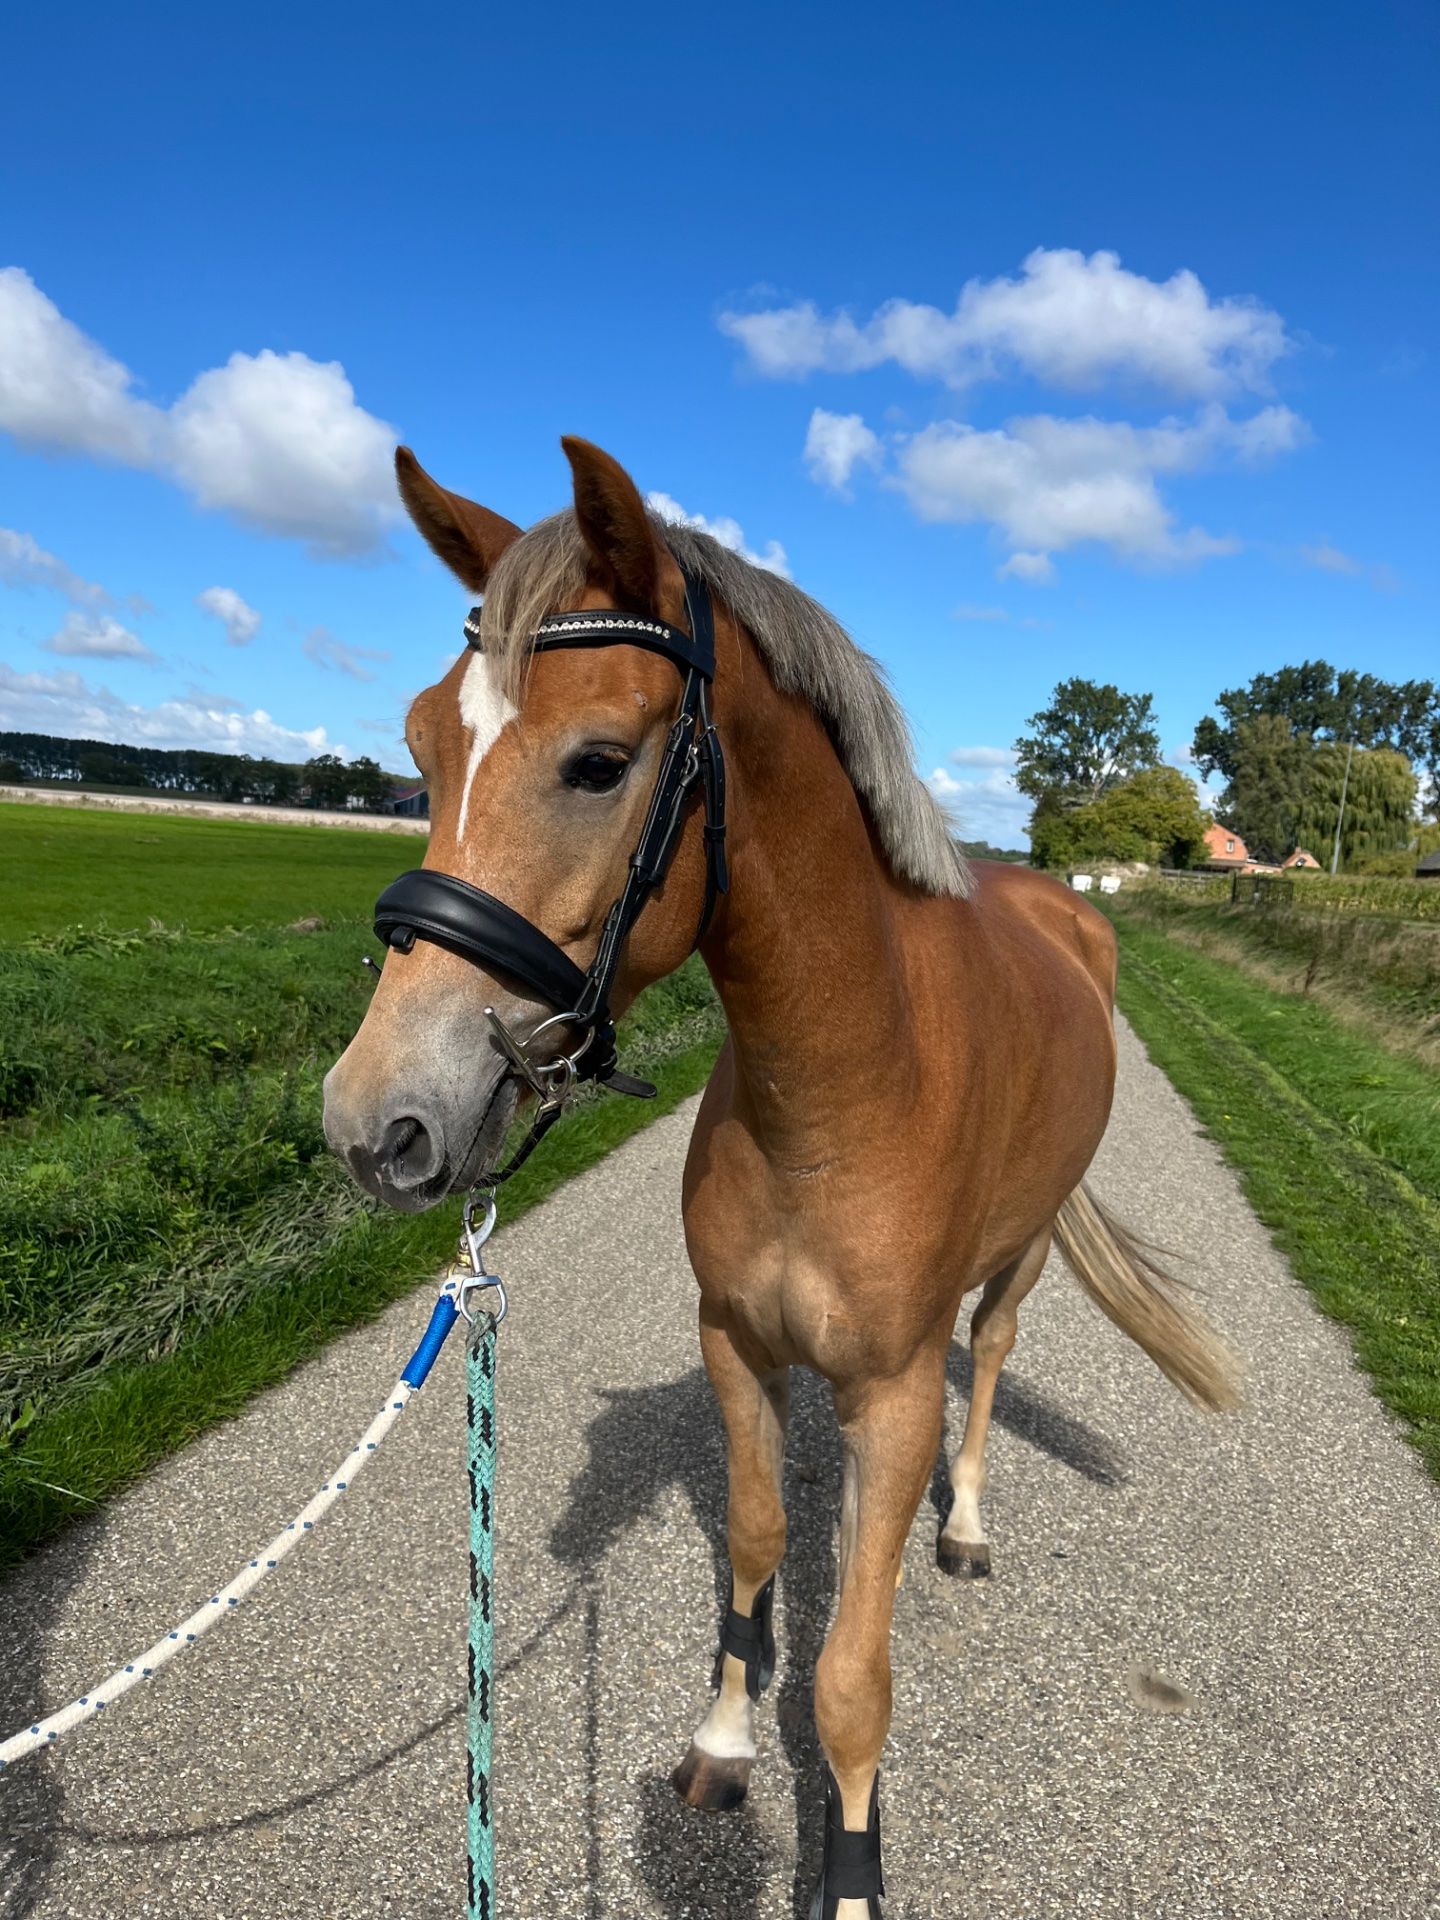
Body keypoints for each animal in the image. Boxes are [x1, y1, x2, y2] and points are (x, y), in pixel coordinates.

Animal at [322, 436, 1238, 1918]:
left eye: (597, 763)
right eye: (420, 747)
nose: (375, 1122)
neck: (845, 1081)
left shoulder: (895, 1393)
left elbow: (854, 1678)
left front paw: (852, 1872)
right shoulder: (738, 1346)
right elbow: (754, 1555)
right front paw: (720, 1745)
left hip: (1024, 1256)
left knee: (994, 1357)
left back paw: (964, 1523)